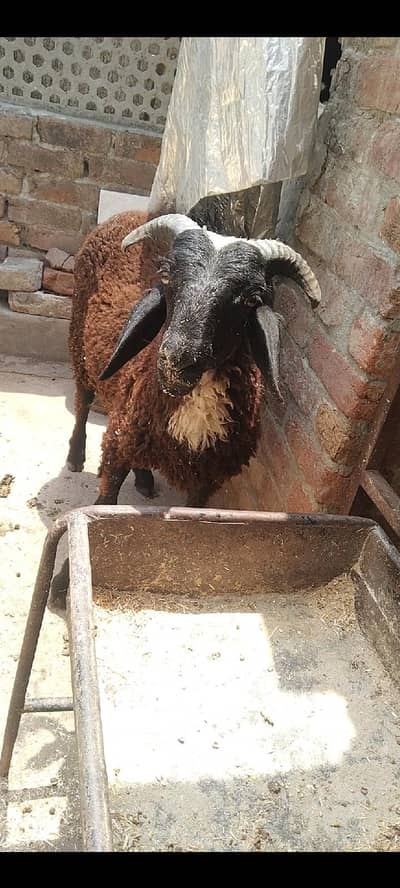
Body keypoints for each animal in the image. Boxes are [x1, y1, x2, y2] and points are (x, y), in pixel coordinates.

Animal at [66, 209, 321, 509]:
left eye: (252, 298)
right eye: (166, 275)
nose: (176, 361)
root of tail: (131, 213)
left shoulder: (207, 480)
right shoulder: (117, 446)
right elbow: (105, 502)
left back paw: (144, 480)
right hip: (79, 342)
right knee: (82, 400)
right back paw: (75, 457)